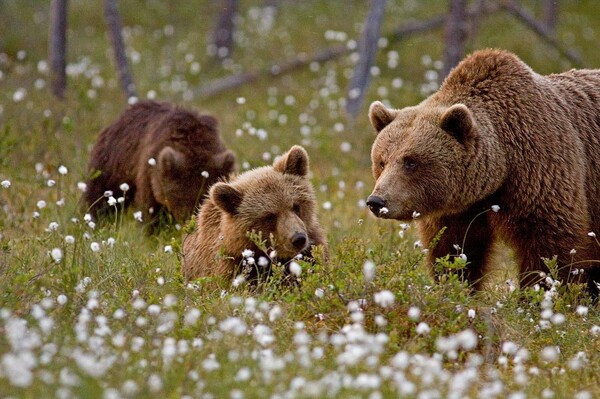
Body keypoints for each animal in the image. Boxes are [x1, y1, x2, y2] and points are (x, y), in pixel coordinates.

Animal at [84, 100, 234, 228]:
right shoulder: (150, 171)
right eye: (180, 199)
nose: (191, 223)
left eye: (204, 197)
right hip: (112, 164)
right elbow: (150, 211)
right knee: (99, 197)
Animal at [366, 47, 600, 300]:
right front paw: (456, 286)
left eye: (411, 162)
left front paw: (538, 296)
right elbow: (455, 248)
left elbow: (551, 245)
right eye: (381, 161)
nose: (377, 201)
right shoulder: (459, 210)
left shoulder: (542, 170)